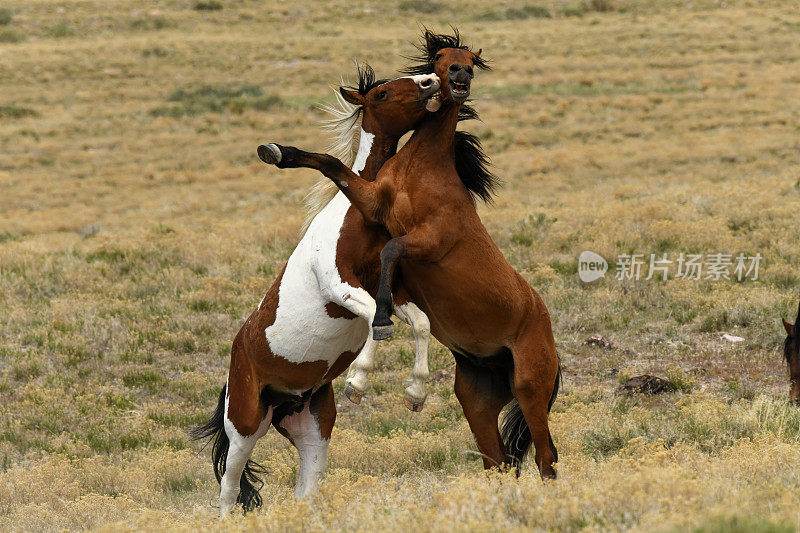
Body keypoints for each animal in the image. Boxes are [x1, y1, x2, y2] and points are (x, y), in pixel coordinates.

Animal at [195, 67, 444, 516]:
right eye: (382, 92)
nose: (430, 79)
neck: (354, 215)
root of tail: (233, 366)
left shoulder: (388, 292)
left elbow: (417, 322)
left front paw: (416, 392)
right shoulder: (338, 286)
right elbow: (375, 319)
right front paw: (359, 381)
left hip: (313, 431)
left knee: (304, 489)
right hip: (245, 427)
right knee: (228, 488)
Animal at [260, 29, 560, 478]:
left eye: (471, 59)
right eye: (441, 56)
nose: (459, 75)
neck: (419, 169)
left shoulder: (430, 240)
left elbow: (390, 250)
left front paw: (380, 324)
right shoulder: (372, 202)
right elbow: (333, 165)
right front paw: (279, 151)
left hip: (530, 388)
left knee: (546, 457)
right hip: (477, 399)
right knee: (500, 461)